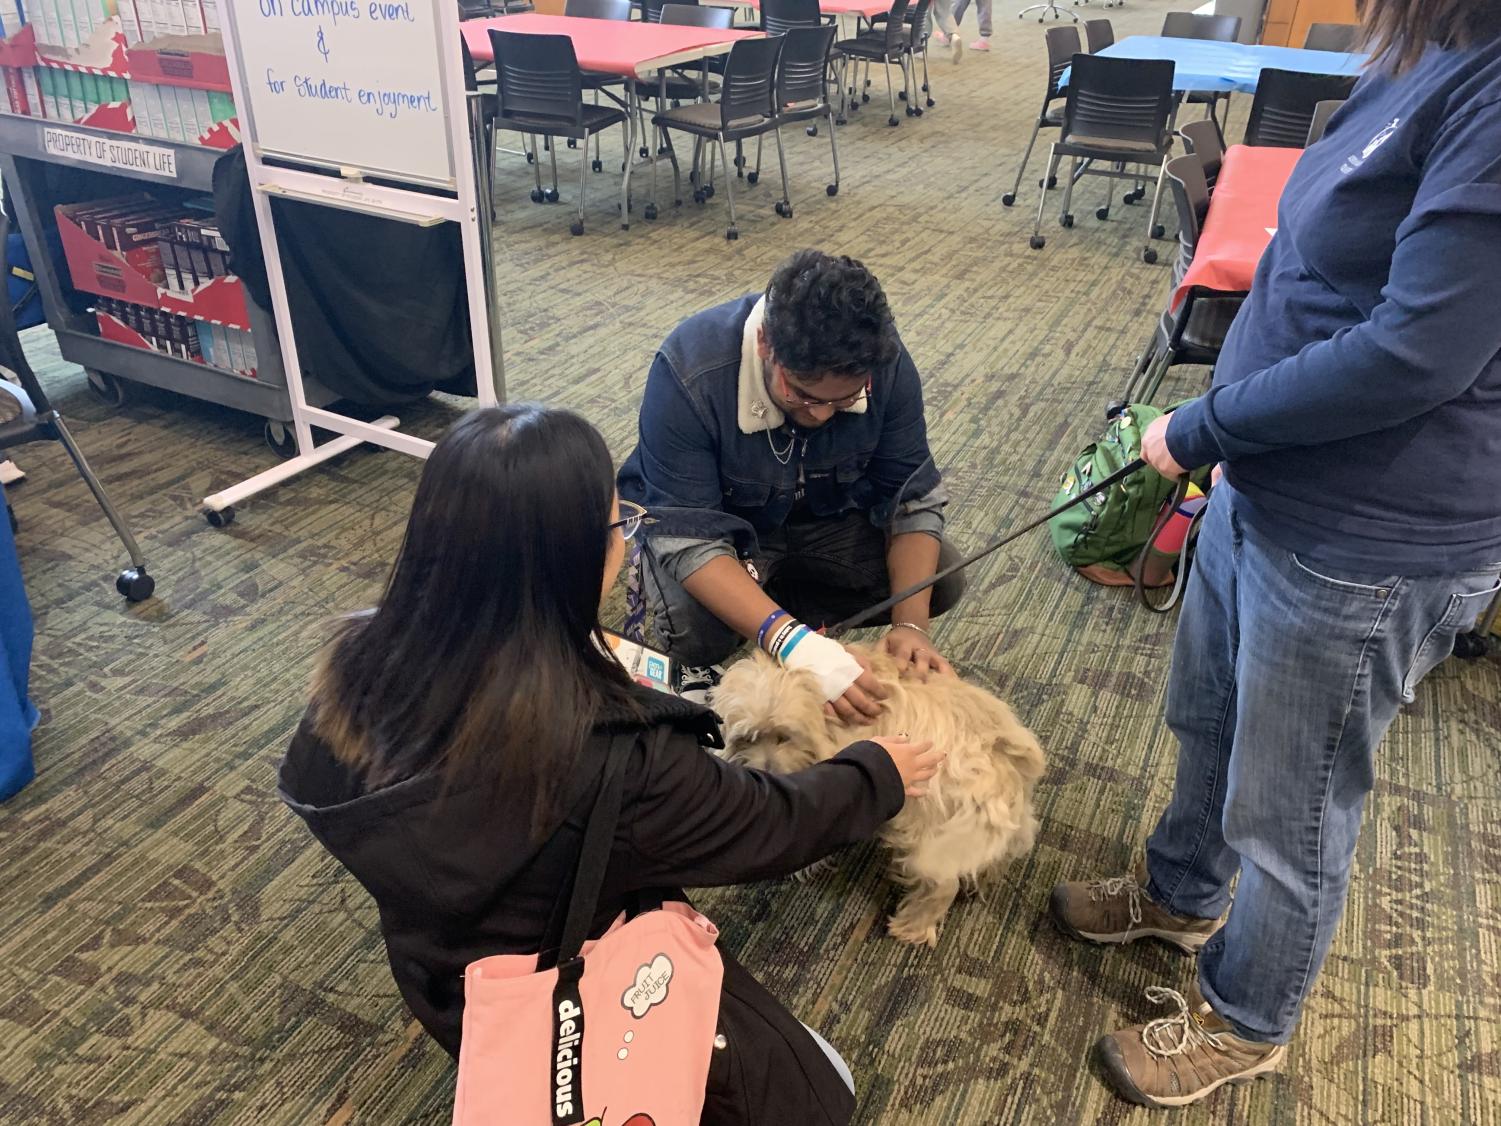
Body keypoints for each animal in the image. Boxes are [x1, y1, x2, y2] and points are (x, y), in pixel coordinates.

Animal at [711, 648, 1044, 948]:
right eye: (746, 739)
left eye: (783, 736)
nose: (767, 773)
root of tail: (1004, 751)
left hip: (931, 834)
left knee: (942, 885)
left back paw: (913, 927)